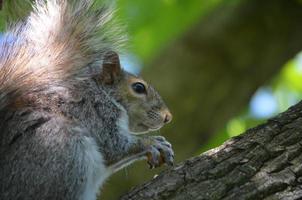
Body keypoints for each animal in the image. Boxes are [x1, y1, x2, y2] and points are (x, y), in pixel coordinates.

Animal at [0, 0, 173, 200]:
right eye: (138, 88)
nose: (168, 117)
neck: (105, 94)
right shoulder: (97, 114)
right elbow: (114, 146)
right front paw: (153, 143)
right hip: (63, 150)